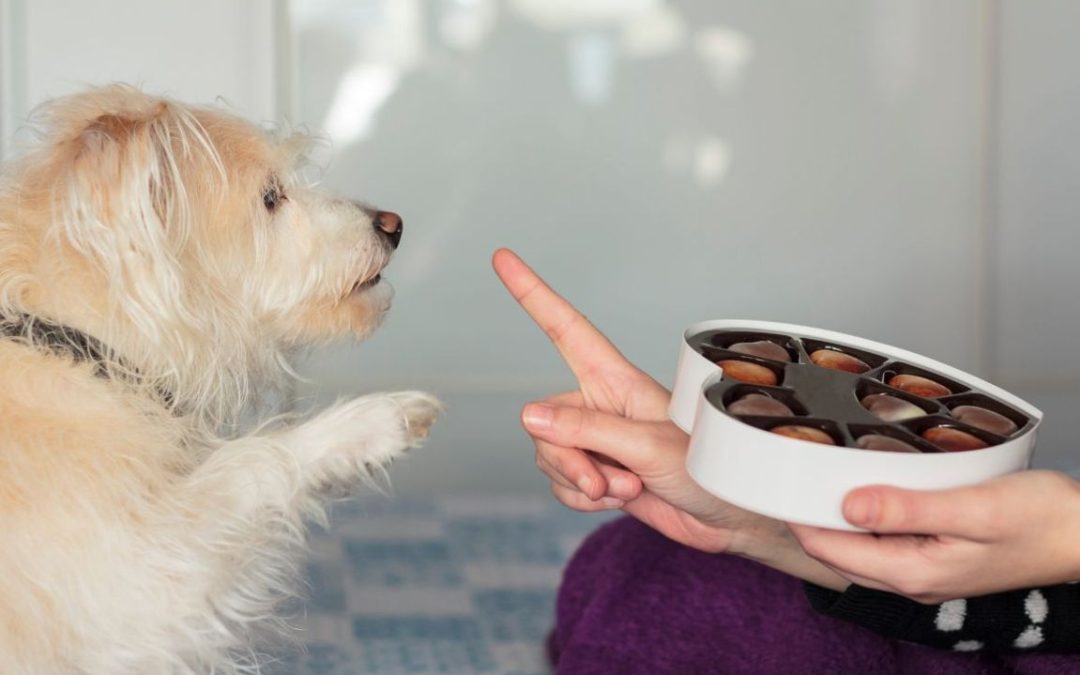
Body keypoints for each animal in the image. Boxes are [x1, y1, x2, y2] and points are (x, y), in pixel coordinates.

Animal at [0, 86, 442, 669]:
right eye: (271, 197)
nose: (393, 224)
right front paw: (372, 422)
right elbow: (250, 461)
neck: (77, 341)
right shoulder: (137, 583)